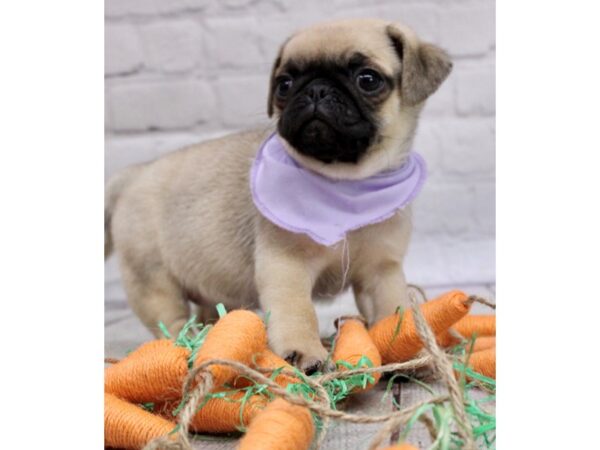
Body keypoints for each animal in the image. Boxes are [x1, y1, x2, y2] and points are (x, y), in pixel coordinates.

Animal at [105, 18, 450, 372]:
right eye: (284, 84)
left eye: (367, 79)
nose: (316, 89)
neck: (344, 183)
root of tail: (134, 174)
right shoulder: (287, 268)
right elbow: (299, 313)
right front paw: (304, 352)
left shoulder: (381, 271)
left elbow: (392, 310)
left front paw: (404, 349)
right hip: (154, 281)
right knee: (171, 322)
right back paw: (188, 346)